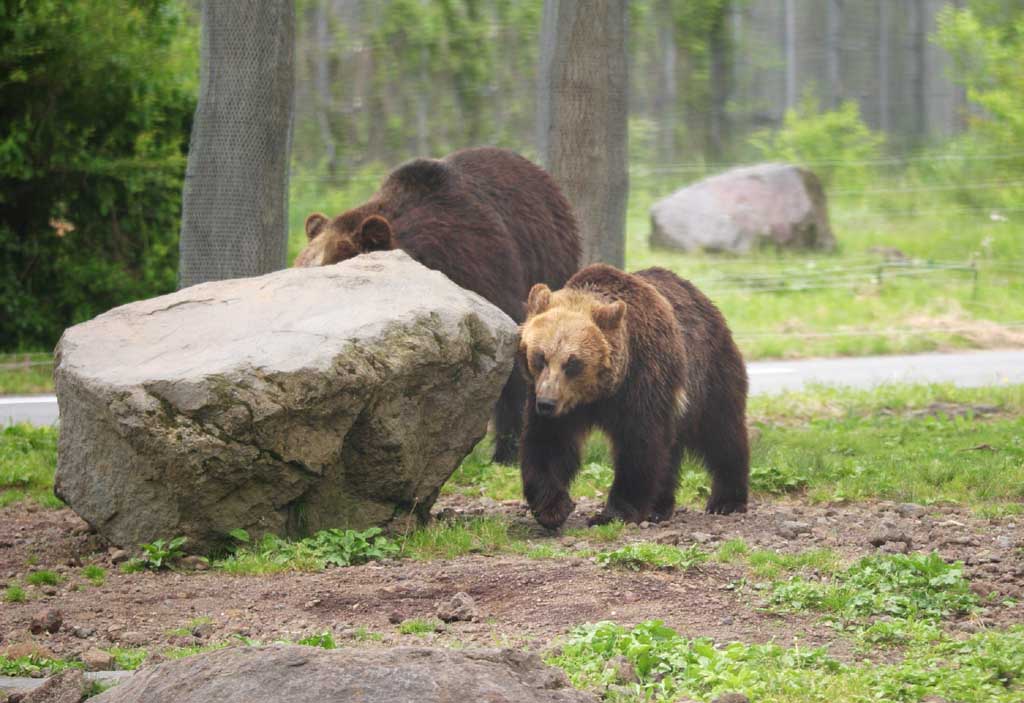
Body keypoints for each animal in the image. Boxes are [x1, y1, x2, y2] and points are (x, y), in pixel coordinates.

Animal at [520, 264, 745, 528]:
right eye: (540, 357)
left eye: (573, 363)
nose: (547, 403)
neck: (600, 393)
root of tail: (703, 298)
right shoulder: (553, 400)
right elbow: (548, 442)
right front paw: (552, 507)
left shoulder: (642, 379)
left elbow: (639, 443)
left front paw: (612, 513)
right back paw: (659, 507)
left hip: (708, 374)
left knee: (721, 433)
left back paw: (727, 500)